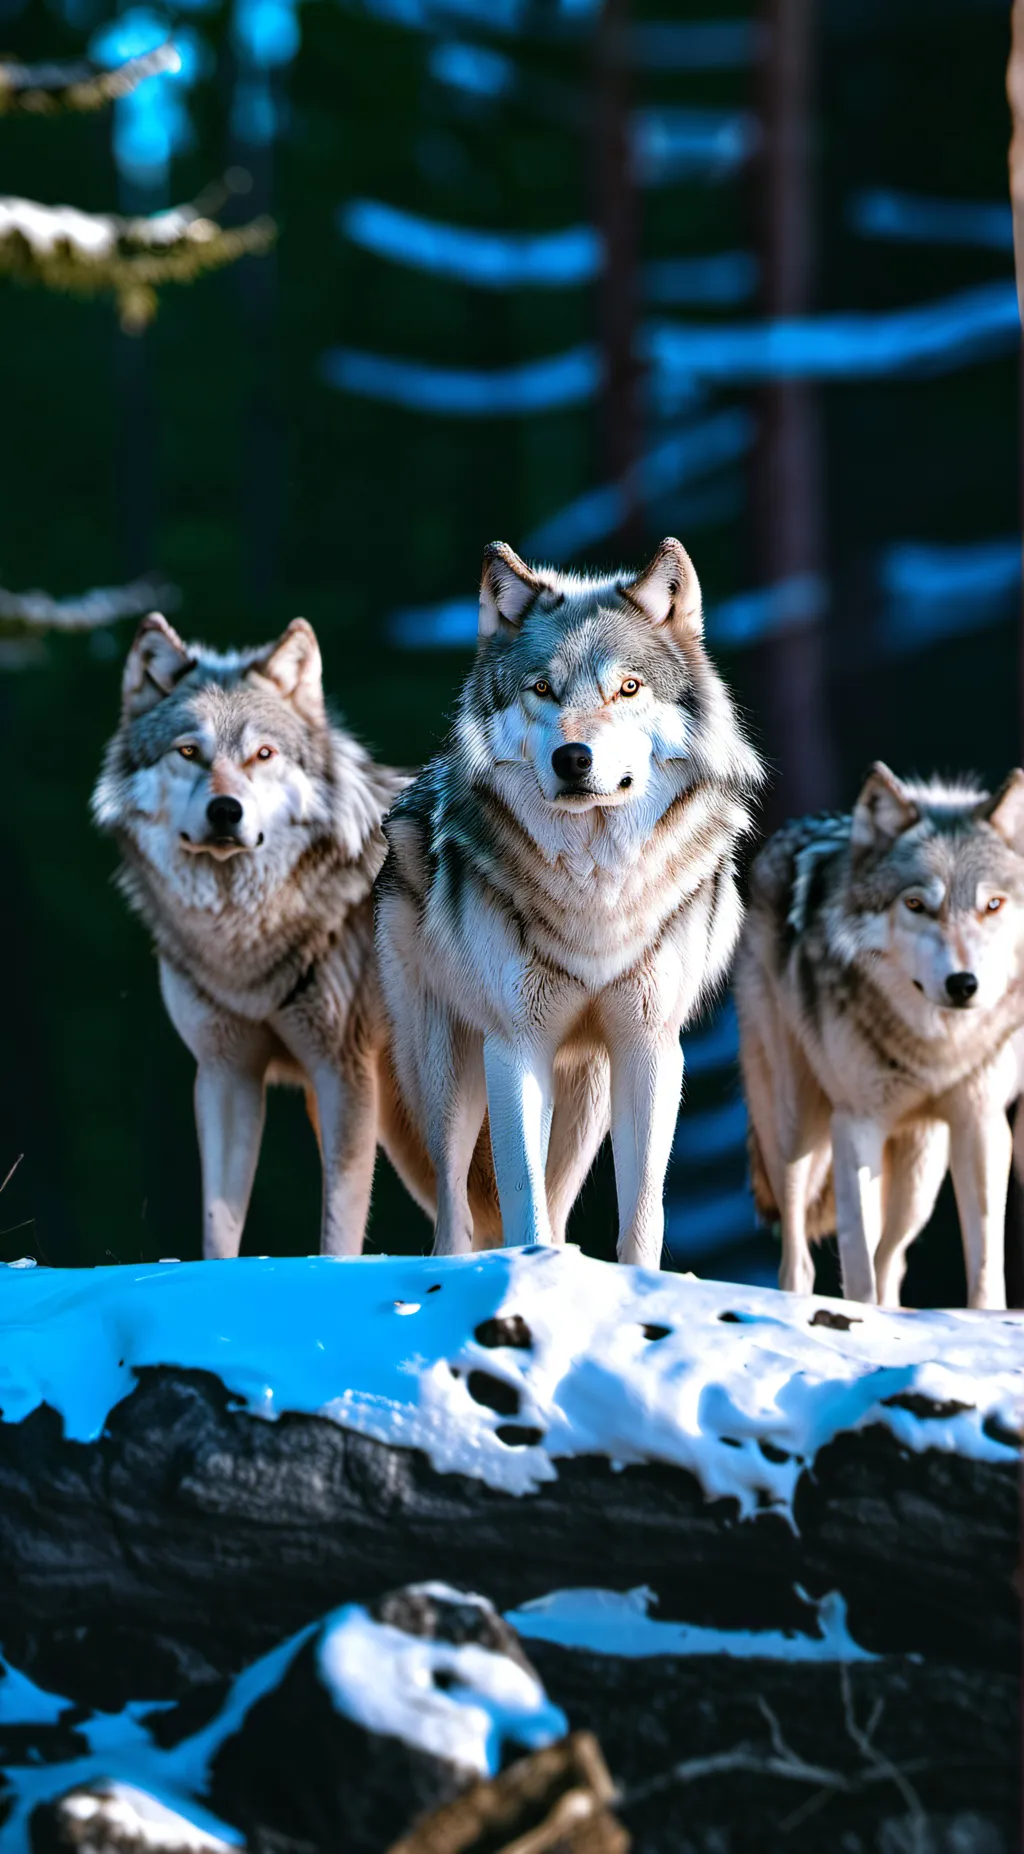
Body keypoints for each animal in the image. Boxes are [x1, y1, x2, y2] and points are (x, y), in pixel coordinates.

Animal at [93, 613, 407, 1258]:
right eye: (189, 752)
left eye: (263, 754)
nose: (225, 811)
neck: (245, 941)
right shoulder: (224, 1071)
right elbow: (219, 1225)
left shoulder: (344, 1073)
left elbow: (338, 1232)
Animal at [375, 537, 764, 1267]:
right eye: (542, 689)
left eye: (628, 688)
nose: (574, 758)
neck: (597, 887)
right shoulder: (514, 1047)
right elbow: (520, 1199)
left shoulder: (650, 1047)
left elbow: (642, 1209)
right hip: (448, 1075)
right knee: (454, 1204)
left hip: (587, 1096)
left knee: (557, 1200)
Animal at [734, 764, 1024, 1309]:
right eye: (915, 904)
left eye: (993, 905)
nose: (964, 984)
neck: (936, 1048)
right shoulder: (856, 1124)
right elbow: (857, 1259)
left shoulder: (981, 1124)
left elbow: (985, 1266)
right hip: (795, 1130)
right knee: (798, 1257)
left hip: (921, 1170)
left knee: (894, 1258)